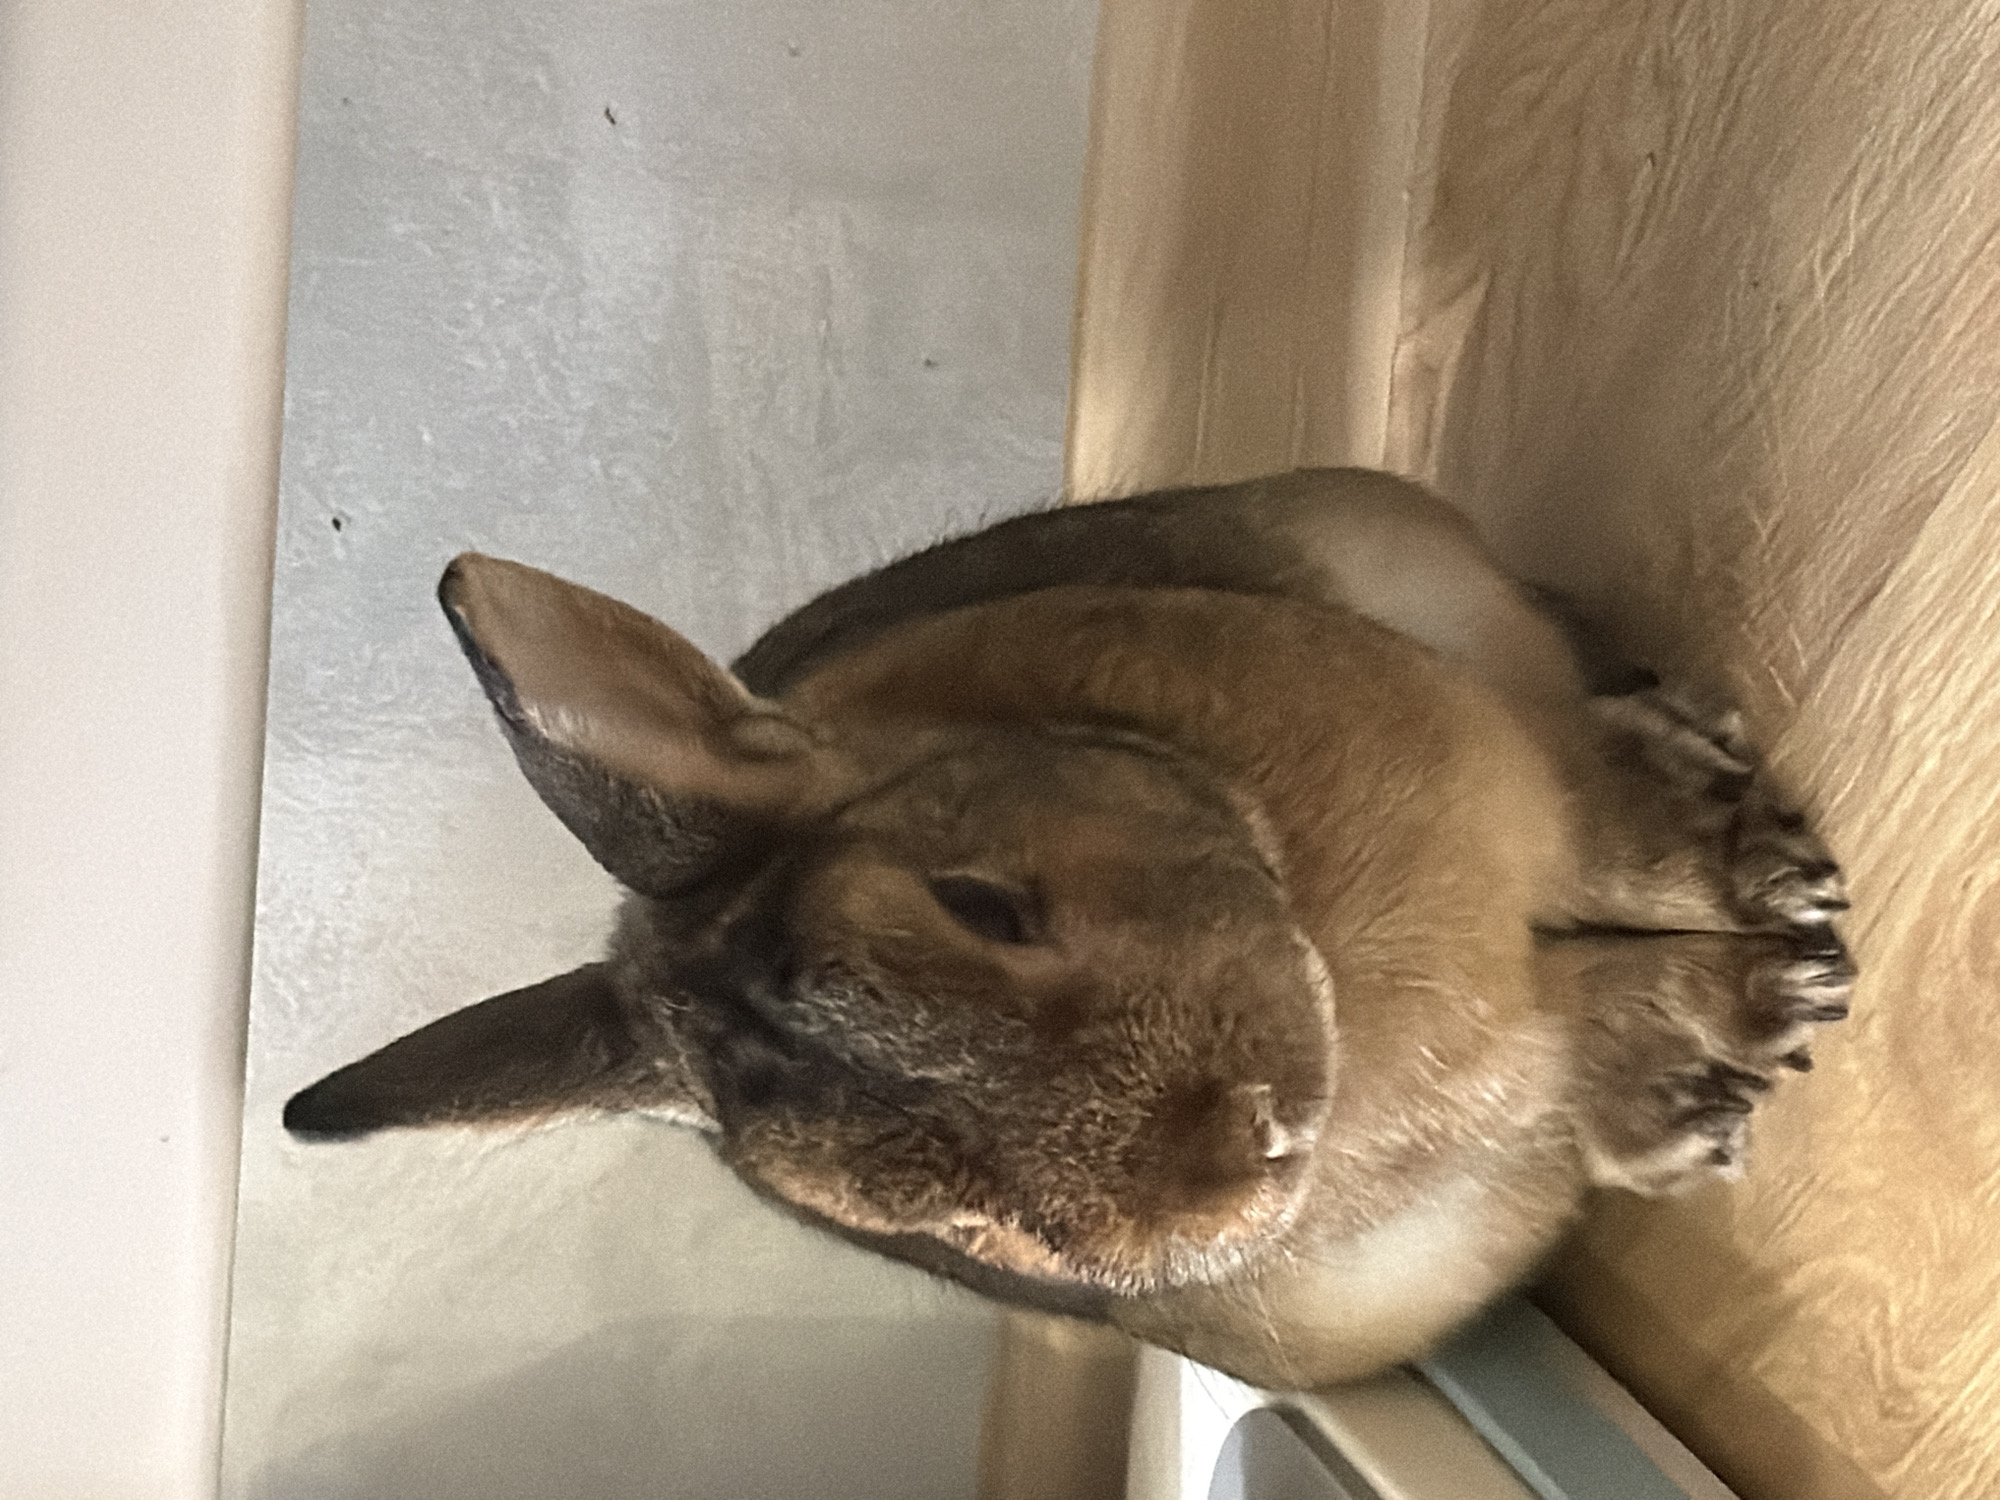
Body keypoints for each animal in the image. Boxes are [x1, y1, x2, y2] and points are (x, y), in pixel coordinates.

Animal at [284, 467, 1853, 1388]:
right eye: (947, 1223)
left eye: (984, 904)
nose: (1242, 1152)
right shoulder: (1536, 1035)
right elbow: (1598, 1016)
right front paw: (1751, 1028)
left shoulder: (1539, 802)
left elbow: (1636, 863)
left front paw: (1783, 908)